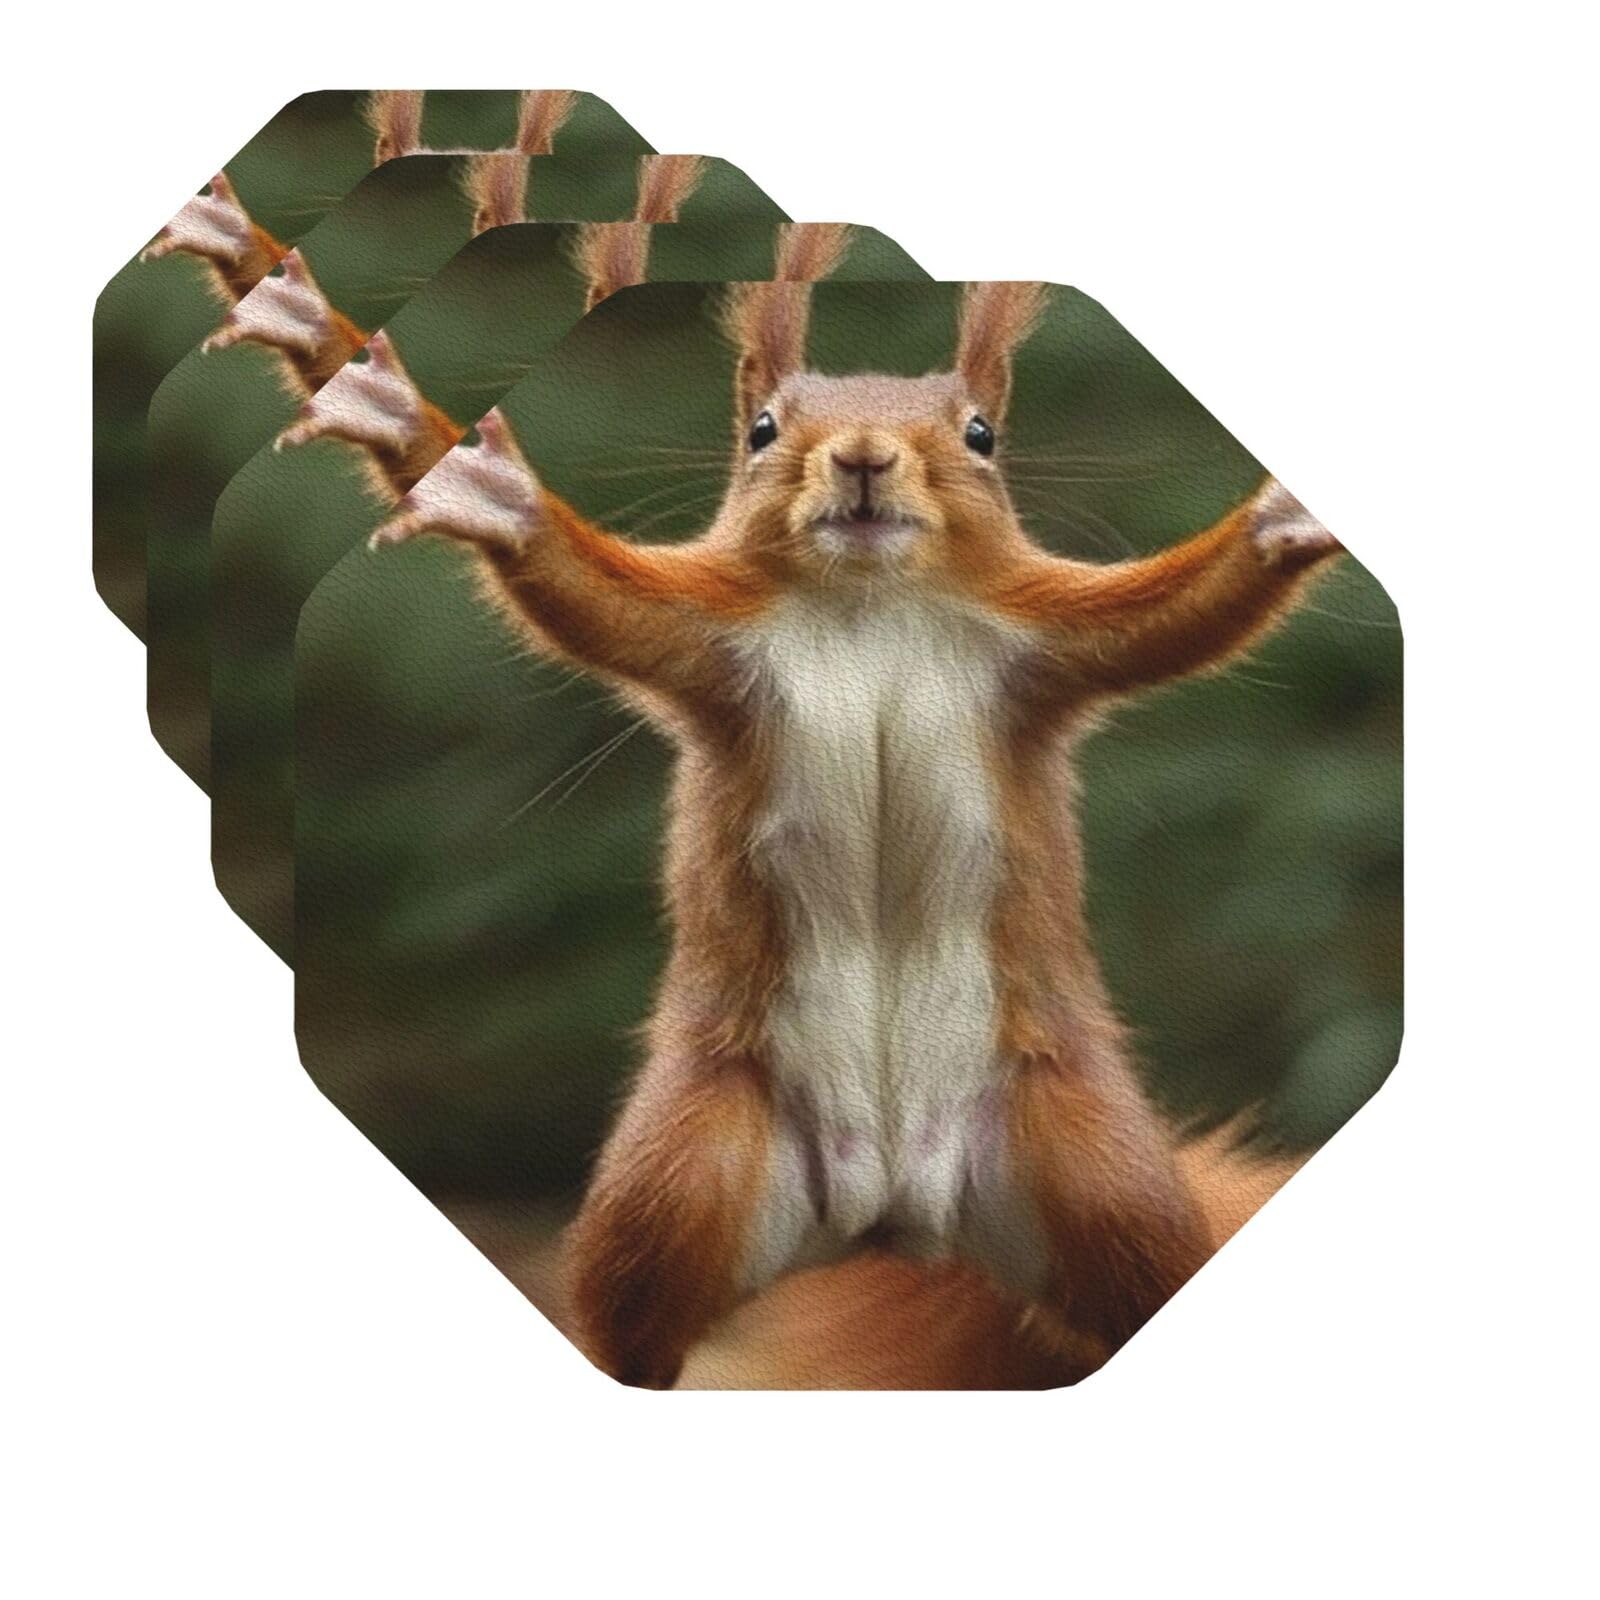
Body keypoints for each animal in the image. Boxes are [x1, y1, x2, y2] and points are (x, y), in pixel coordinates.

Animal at [370, 273, 1343, 1389]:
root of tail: (889, 1215)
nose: (865, 455)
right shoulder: (708, 643)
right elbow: (595, 601)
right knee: (635, 1332)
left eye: (979, 433)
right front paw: (479, 482)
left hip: (1091, 1173)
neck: (870, 602)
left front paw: (1282, 517)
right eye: (760, 429)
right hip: (689, 1172)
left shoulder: (1049, 644)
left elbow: (1177, 615)